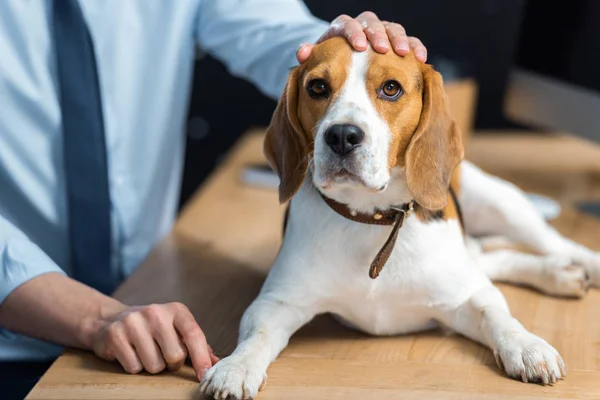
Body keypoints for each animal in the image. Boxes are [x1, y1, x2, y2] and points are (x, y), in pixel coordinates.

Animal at [202, 36, 600, 396]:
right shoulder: (276, 303)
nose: (342, 135)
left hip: (504, 205)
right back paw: (558, 275)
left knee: (552, 245)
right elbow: (257, 335)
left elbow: (496, 314)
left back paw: (576, 267)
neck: (374, 219)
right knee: (495, 259)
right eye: (317, 87)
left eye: (391, 88)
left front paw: (526, 346)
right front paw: (235, 366)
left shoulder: (467, 296)